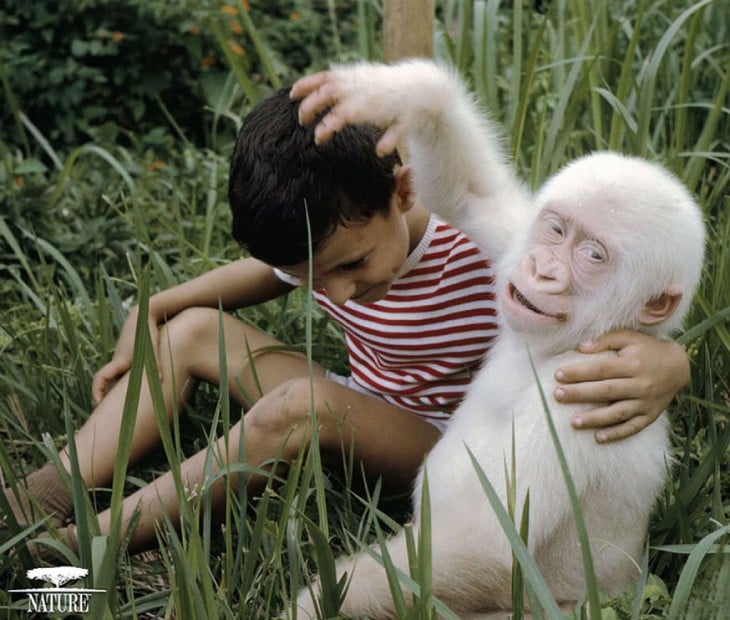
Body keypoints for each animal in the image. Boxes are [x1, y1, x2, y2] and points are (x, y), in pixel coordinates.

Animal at [286, 59, 704, 620]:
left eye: (593, 255)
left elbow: (486, 541)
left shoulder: (579, 401)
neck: (557, 349)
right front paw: (399, 94)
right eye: (555, 230)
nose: (544, 269)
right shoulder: (512, 242)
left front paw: (313, 604)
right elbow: (470, 192)